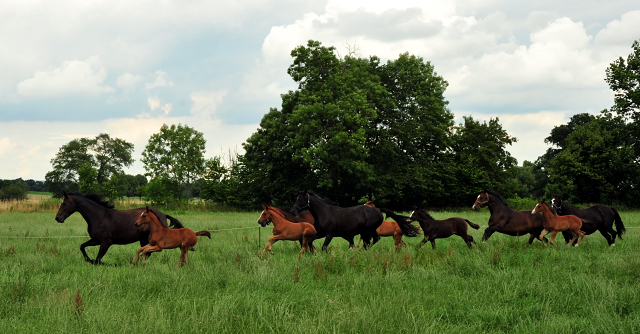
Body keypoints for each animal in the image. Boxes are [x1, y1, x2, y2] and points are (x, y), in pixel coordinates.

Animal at [53, 192, 184, 264]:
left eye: (64, 203)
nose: (58, 218)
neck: (99, 216)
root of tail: (163, 214)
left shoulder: (106, 243)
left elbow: (98, 260)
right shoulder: (96, 240)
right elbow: (82, 247)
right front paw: (88, 259)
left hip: (148, 240)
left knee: (147, 252)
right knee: (146, 252)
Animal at [292, 189, 420, 252]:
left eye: (300, 199)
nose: (293, 210)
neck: (324, 213)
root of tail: (378, 209)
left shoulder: (329, 234)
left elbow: (324, 247)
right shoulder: (321, 233)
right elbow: (310, 241)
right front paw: (313, 253)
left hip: (369, 230)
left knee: (375, 239)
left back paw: (362, 251)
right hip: (365, 232)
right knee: (368, 242)